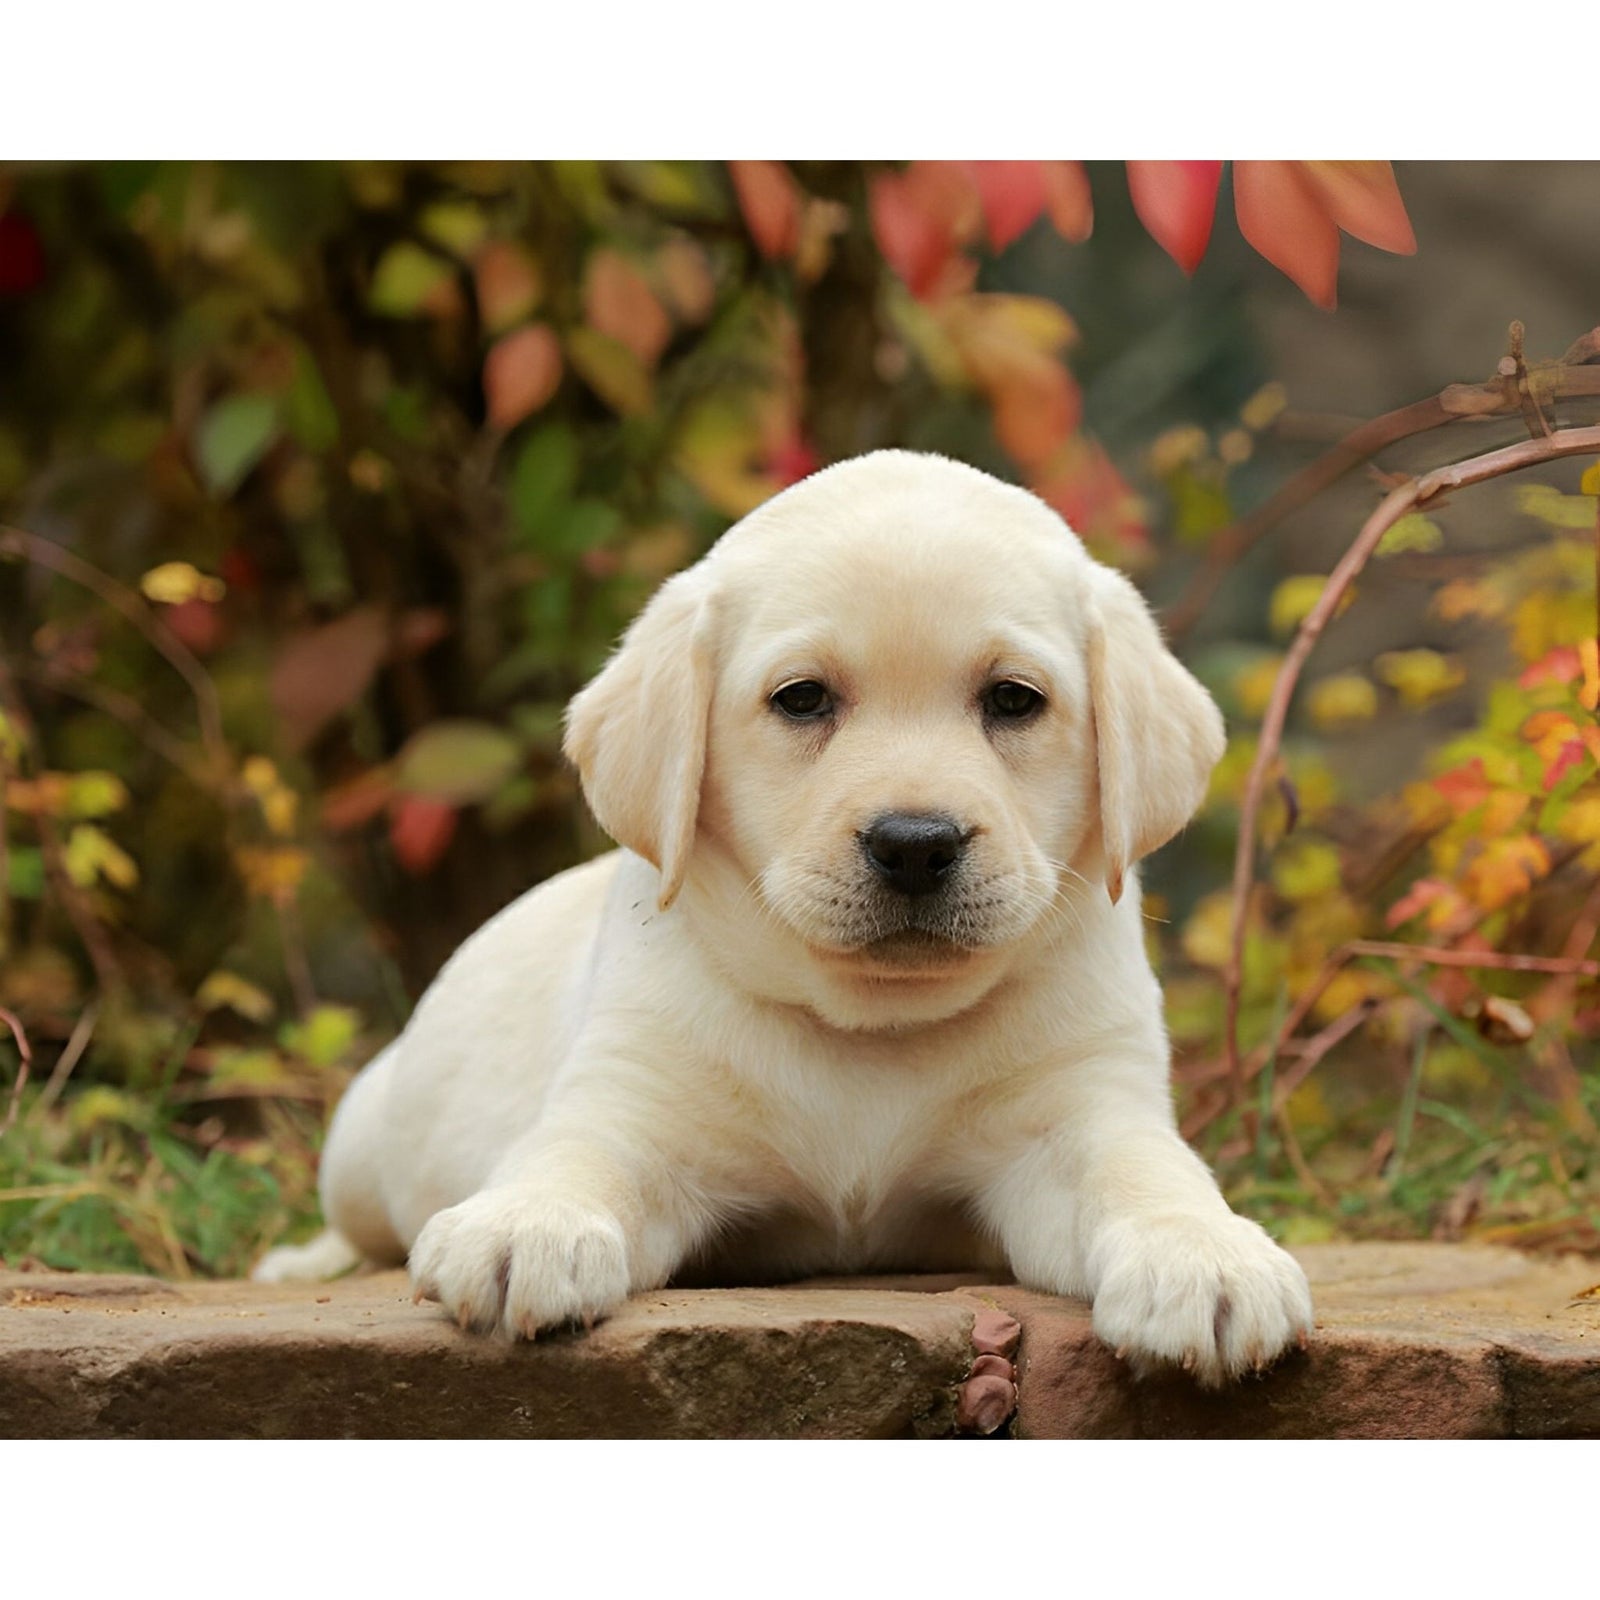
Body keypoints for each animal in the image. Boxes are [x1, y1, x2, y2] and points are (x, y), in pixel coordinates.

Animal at [256, 451, 1312, 1388]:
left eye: (1014, 700)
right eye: (802, 699)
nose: (916, 843)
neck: (873, 1028)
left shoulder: (1080, 1112)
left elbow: (1146, 1170)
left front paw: (1205, 1256)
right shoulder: (632, 1102)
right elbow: (572, 1156)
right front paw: (526, 1225)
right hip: (361, 1143)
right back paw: (302, 1260)